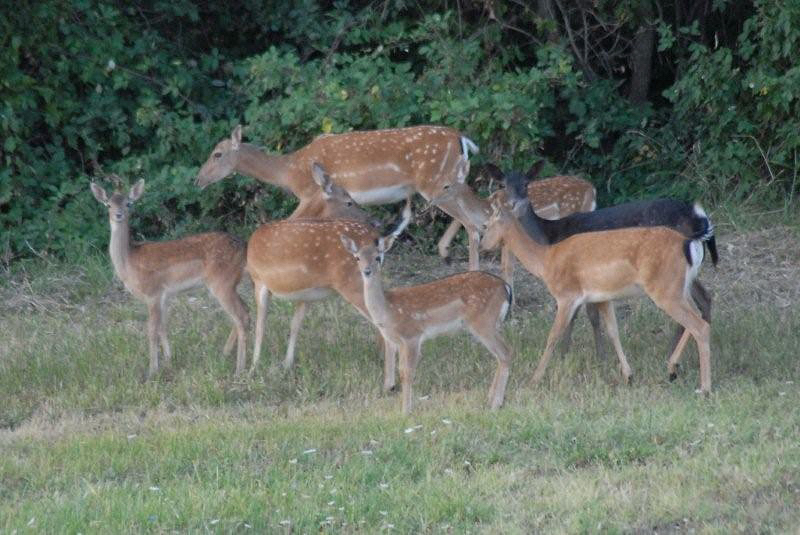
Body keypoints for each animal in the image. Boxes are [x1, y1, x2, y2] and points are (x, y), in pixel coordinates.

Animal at [90, 178, 250, 378]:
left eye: (129, 203)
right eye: (108, 204)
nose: (118, 215)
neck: (129, 264)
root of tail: (244, 248)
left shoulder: (153, 293)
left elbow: (151, 329)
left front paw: (152, 370)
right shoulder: (164, 296)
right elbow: (163, 326)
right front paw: (168, 359)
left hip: (222, 282)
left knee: (241, 316)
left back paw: (240, 369)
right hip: (230, 283)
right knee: (246, 310)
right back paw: (225, 354)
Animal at [197, 124, 484, 268]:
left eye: (217, 154)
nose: (197, 180)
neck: (290, 171)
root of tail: (462, 139)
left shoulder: (311, 195)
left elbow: (290, 223)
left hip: (434, 182)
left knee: (473, 222)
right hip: (450, 181)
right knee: (479, 212)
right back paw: (446, 253)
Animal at [340, 232, 512, 416]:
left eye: (378, 257)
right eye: (357, 257)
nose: (367, 271)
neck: (389, 312)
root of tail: (506, 288)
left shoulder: (412, 335)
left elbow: (407, 372)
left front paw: (406, 411)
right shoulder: (399, 342)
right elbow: (401, 371)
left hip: (483, 321)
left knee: (505, 352)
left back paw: (495, 404)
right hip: (492, 323)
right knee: (499, 355)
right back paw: (490, 399)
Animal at [482, 196, 712, 394]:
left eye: (487, 224)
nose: (484, 245)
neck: (546, 261)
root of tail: (688, 243)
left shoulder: (566, 295)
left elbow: (553, 336)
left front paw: (534, 379)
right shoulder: (603, 297)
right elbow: (613, 331)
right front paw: (628, 375)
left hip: (665, 289)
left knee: (699, 325)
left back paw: (703, 388)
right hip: (679, 288)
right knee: (698, 315)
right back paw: (672, 368)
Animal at [500, 162, 720, 364]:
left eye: (526, 184)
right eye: (503, 185)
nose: (513, 205)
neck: (549, 236)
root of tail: (698, 219)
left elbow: (585, 314)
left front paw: (595, 357)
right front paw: (567, 353)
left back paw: (672, 355)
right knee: (704, 298)